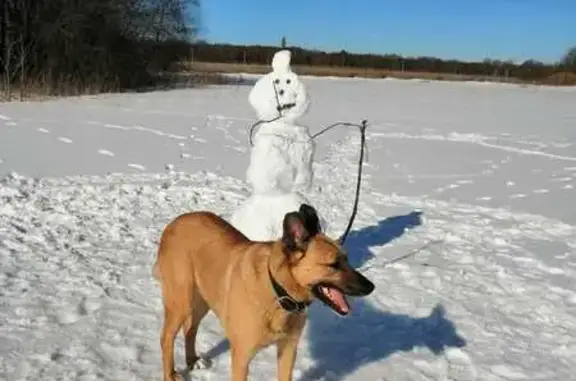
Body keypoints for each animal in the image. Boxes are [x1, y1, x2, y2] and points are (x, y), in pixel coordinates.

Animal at [153, 205, 376, 380]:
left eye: (346, 259)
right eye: (334, 264)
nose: (371, 287)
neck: (278, 291)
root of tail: (174, 223)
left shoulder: (288, 349)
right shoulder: (241, 357)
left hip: (201, 300)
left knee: (190, 328)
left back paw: (192, 361)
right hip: (180, 302)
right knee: (166, 338)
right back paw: (171, 375)